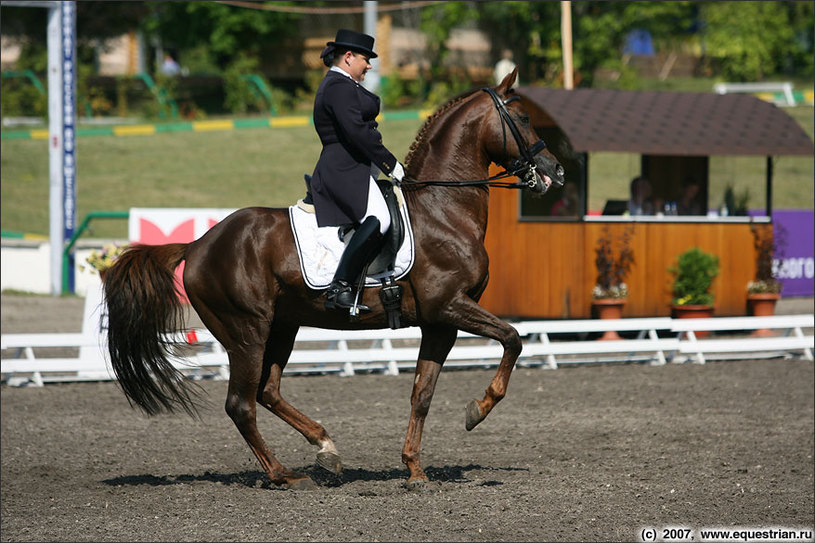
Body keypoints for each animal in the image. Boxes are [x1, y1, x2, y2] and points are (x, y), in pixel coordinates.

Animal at [102, 69, 564, 492]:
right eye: (523, 117)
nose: (555, 171)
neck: (442, 209)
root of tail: (199, 244)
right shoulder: (450, 305)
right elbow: (513, 338)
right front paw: (477, 410)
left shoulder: (440, 322)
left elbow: (422, 394)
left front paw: (415, 471)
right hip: (246, 331)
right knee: (241, 404)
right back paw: (285, 475)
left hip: (282, 326)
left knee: (267, 392)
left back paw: (325, 448)